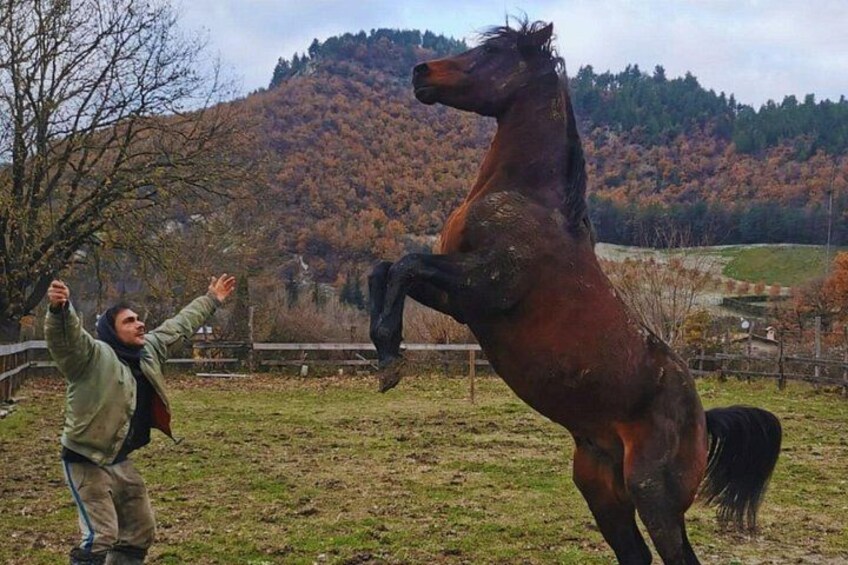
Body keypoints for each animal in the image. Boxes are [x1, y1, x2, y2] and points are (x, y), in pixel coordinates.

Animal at [368, 20, 781, 564]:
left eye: (494, 52)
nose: (421, 73)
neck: (527, 200)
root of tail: (703, 420)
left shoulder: (487, 287)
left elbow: (405, 265)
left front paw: (391, 361)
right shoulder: (462, 302)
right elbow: (385, 269)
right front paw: (384, 352)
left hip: (654, 495)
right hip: (599, 487)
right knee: (635, 555)